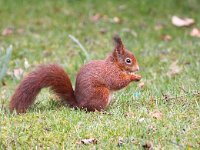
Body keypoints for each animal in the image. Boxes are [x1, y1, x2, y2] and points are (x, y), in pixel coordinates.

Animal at [9, 35, 141, 113]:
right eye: (128, 60)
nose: (138, 69)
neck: (114, 64)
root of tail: (79, 104)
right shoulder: (110, 73)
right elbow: (117, 82)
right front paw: (134, 77)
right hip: (101, 93)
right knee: (93, 109)